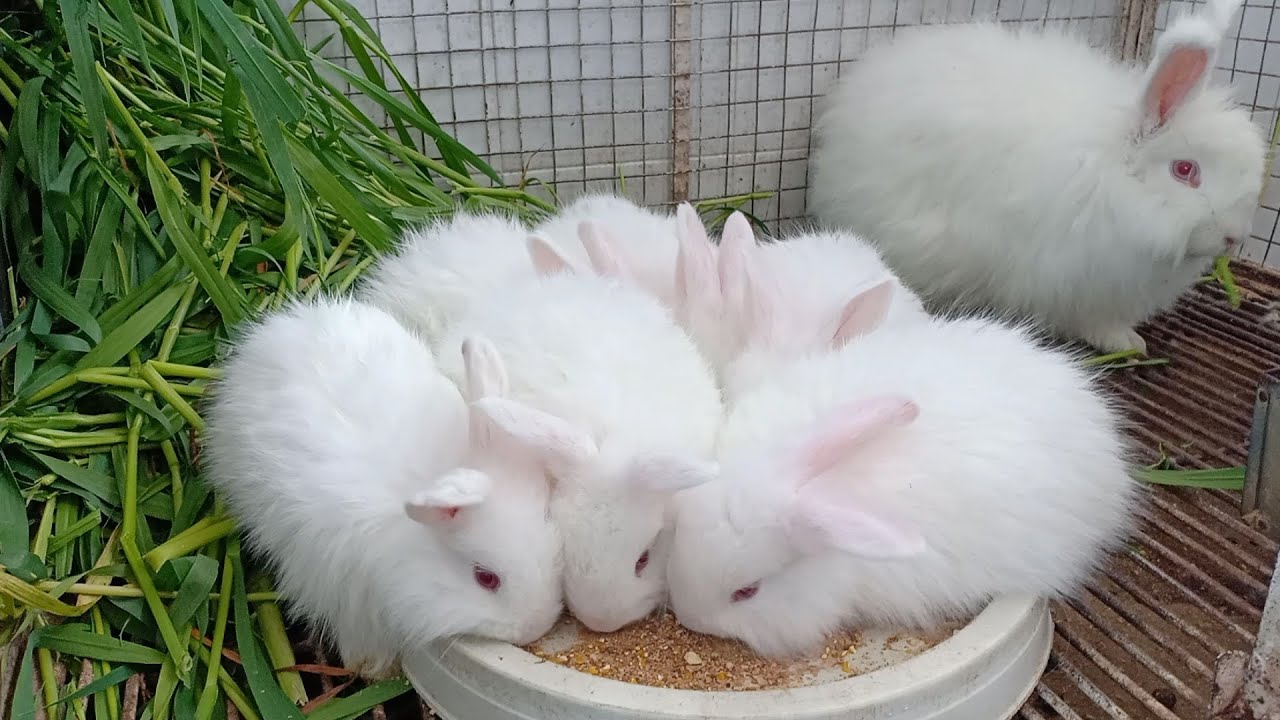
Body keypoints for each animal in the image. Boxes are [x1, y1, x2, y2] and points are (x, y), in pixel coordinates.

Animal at [201, 298, 563, 678]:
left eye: (552, 538)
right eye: (486, 578)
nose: (537, 626)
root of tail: (269, 336)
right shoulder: (344, 594)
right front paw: (375, 669)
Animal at [807, 0, 1265, 354]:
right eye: (1185, 170)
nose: (1233, 236)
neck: (1110, 176)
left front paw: (1129, 342)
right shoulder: (1070, 277)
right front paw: (1124, 345)